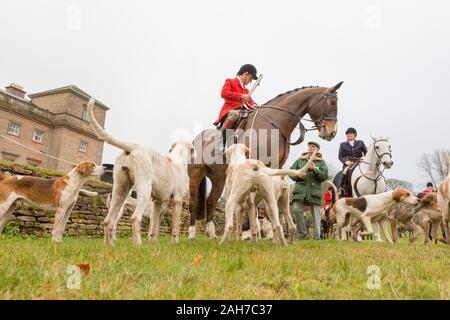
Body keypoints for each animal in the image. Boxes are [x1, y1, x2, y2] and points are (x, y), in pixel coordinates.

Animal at [87, 97, 194, 245]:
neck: (177, 158)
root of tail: (134, 146)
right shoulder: (177, 200)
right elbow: (175, 227)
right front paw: (174, 243)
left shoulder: (157, 203)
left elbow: (154, 228)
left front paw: (153, 244)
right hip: (144, 190)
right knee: (134, 218)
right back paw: (138, 245)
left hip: (120, 190)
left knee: (108, 220)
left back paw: (110, 245)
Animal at [188, 81, 342, 239]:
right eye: (332, 103)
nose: (332, 133)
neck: (275, 125)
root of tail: (196, 138)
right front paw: (258, 230)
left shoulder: (276, 166)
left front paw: (268, 230)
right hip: (196, 174)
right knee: (193, 202)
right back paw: (192, 233)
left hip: (218, 178)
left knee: (211, 201)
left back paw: (211, 233)